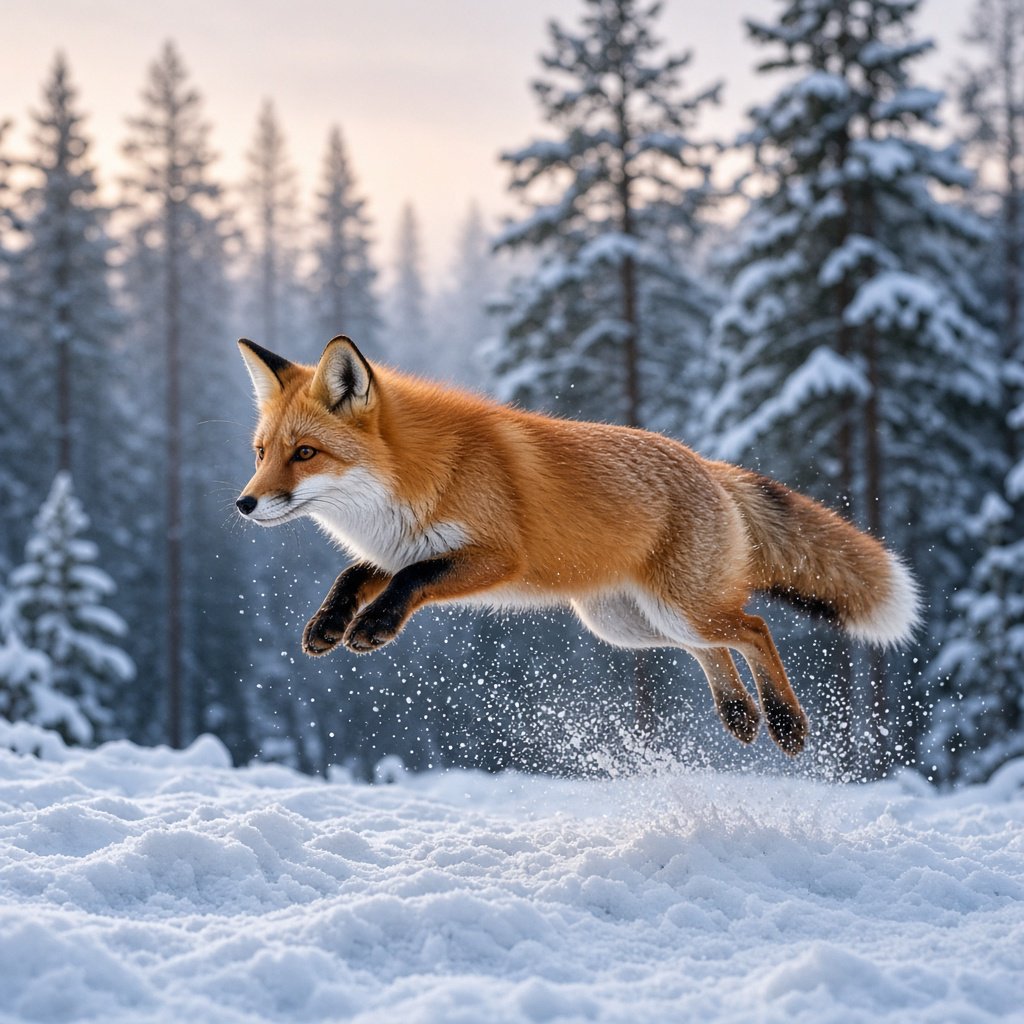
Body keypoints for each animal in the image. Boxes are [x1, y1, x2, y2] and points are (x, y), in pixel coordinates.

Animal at [235, 335, 920, 756]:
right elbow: (354, 576)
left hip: (676, 608)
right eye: (262, 453)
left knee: (753, 627)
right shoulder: (401, 547)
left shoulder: (491, 557)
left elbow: (410, 582)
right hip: (630, 624)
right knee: (715, 647)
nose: (243, 504)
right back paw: (741, 716)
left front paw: (373, 627)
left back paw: (784, 722)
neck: (412, 478)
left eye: (305, 453)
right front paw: (328, 624)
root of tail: (708, 465)